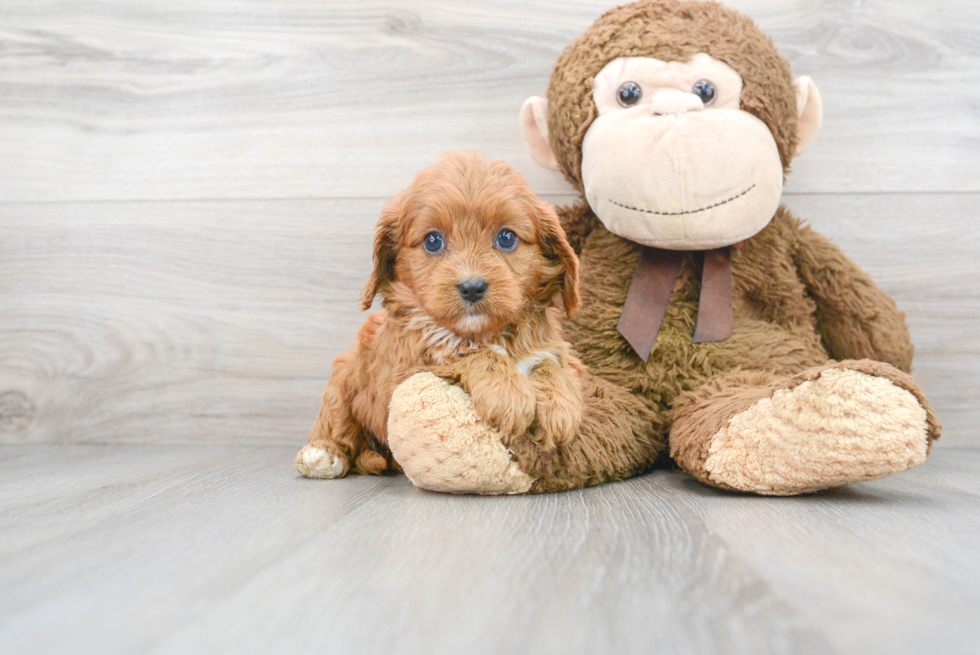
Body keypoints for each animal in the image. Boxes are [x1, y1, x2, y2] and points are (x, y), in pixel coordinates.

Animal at [294, 152, 584, 482]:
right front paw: (508, 393)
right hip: (344, 375)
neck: (485, 332)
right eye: (433, 241)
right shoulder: (407, 370)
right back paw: (322, 454)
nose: (472, 287)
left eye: (507, 237)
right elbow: (468, 354)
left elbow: (552, 365)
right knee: (336, 423)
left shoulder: (556, 350)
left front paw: (559, 406)